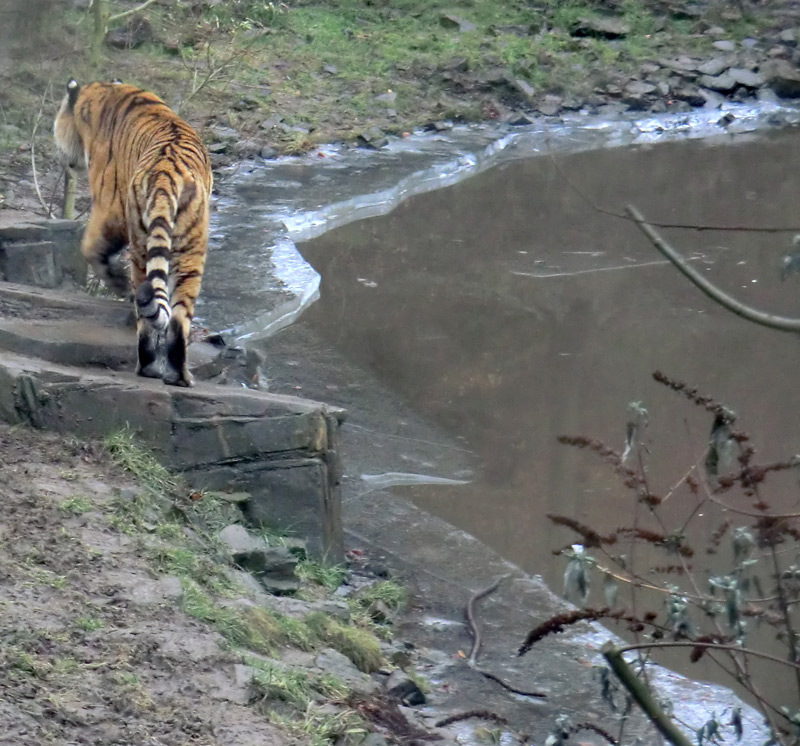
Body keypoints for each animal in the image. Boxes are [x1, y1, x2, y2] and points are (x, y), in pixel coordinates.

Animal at [54, 78, 214, 386]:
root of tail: (166, 175)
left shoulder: (109, 207)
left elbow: (90, 247)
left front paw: (116, 281)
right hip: (188, 251)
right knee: (178, 317)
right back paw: (178, 376)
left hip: (144, 247)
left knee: (148, 314)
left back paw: (149, 368)